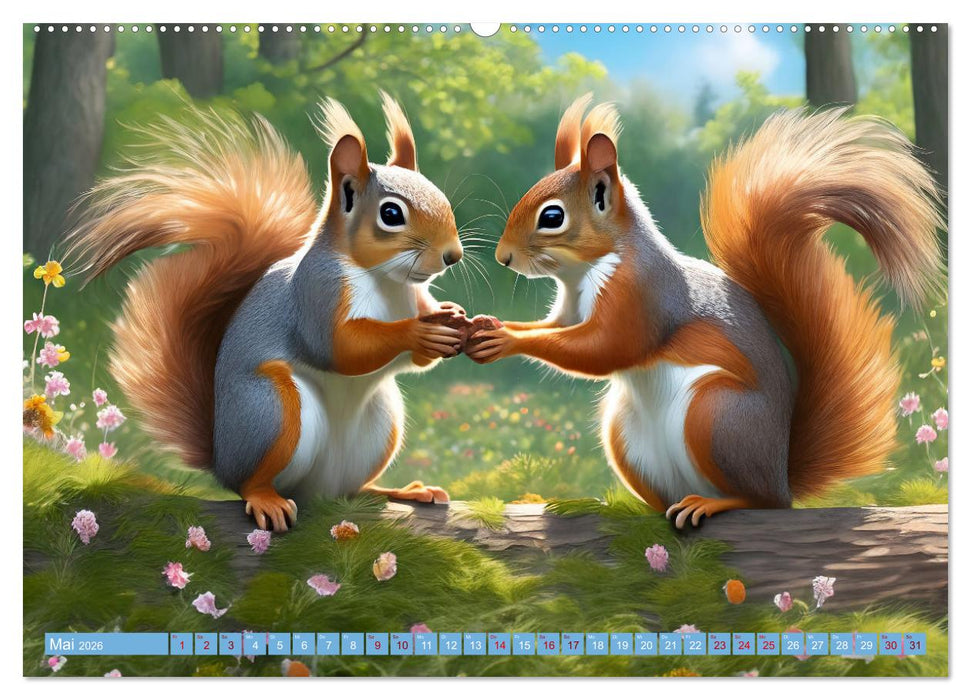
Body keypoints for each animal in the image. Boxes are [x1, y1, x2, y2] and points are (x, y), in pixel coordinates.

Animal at [67, 93, 468, 531]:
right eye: (392, 214)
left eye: (441, 197)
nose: (452, 255)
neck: (387, 280)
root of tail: (221, 458)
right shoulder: (316, 292)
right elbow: (339, 347)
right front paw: (417, 331)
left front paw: (451, 317)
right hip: (269, 410)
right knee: (251, 480)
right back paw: (265, 499)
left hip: (380, 423)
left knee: (354, 489)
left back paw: (401, 490)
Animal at [467, 95, 944, 528]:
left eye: (552, 217)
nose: (503, 257)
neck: (587, 271)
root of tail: (781, 476)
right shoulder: (568, 311)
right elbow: (554, 328)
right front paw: (489, 325)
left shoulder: (641, 296)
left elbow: (604, 350)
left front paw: (506, 339)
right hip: (625, 434)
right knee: (663, 500)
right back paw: (616, 505)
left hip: (715, 416)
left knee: (760, 502)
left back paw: (714, 504)